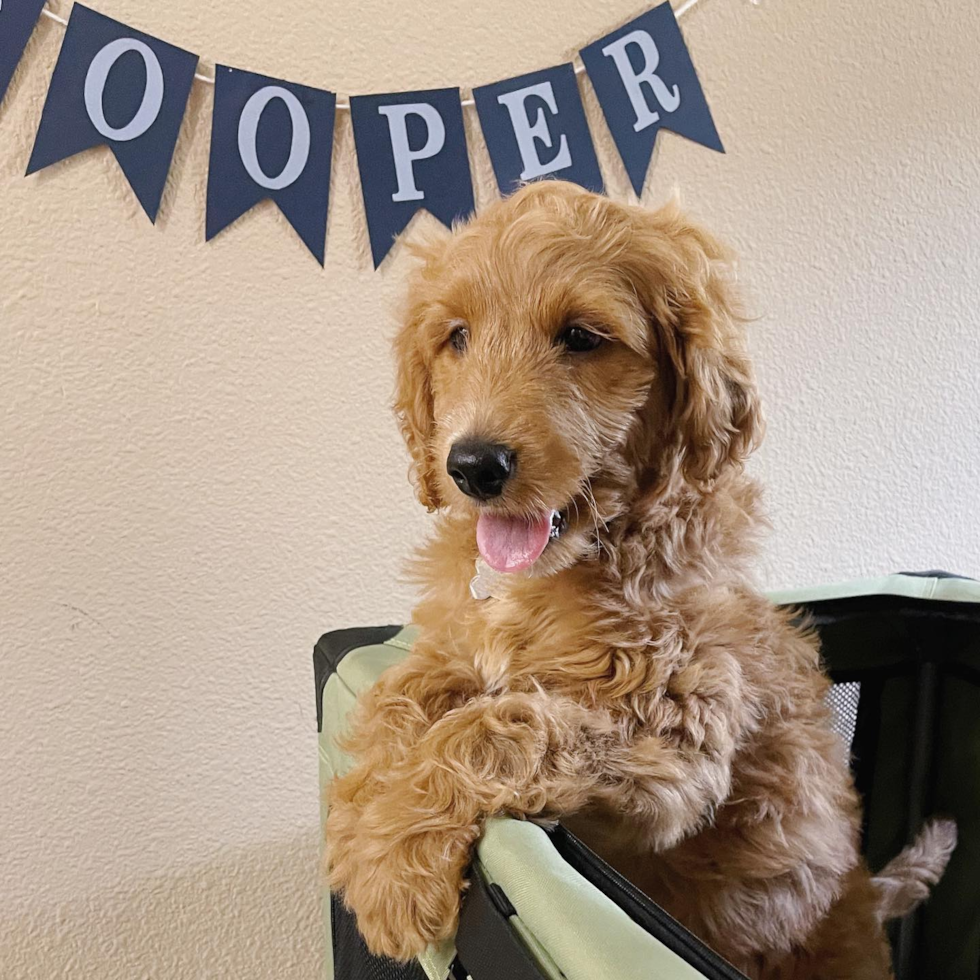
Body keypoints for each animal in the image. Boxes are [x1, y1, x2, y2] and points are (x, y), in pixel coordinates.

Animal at [326, 180, 952, 976]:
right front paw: (363, 817)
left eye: (582, 338)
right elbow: (395, 695)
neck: (567, 565)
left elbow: (499, 721)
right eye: (456, 337)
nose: (472, 465)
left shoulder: (676, 742)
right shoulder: (455, 645)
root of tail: (871, 895)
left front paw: (391, 872)